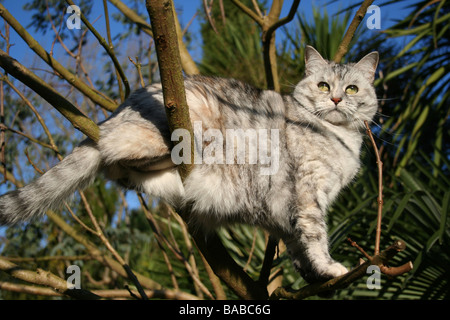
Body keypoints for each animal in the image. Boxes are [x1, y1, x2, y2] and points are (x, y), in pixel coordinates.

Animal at [0, 46, 378, 284]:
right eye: (323, 85)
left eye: (353, 88)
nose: (336, 99)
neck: (341, 139)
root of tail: (113, 114)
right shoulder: (308, 195)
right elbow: (315, 237)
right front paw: (329, 268)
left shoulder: (289, 213)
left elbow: (299, 246)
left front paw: (313, 275)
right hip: (175, 118)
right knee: (114, 149)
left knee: (121, 168)